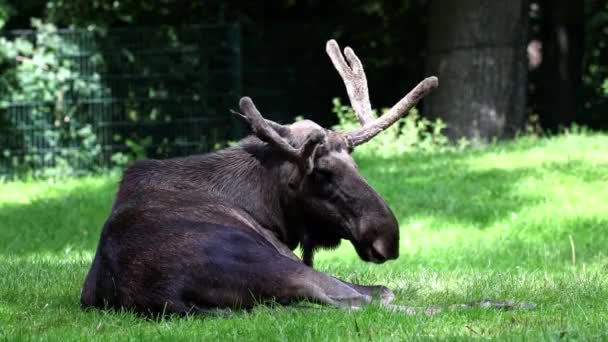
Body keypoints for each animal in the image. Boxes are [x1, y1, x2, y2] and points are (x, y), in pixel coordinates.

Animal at [79, 40, 442, 316]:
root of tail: (165, 296)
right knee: (366, 298)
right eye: (322, 173)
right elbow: (380, 290)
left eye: (355, 165)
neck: (268, 207)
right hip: (283, 267)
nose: (387, 237)